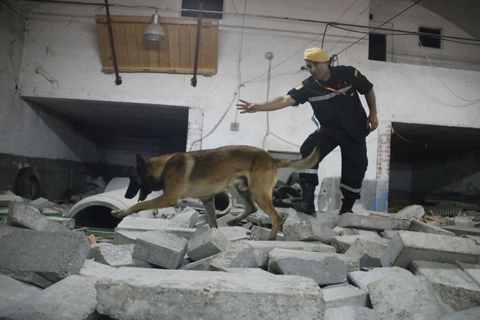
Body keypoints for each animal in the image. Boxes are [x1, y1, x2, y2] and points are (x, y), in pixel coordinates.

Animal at [110, 145, 316, 240]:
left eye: (132, 180)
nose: (126, 196)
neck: (165, 166)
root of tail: (271, 158)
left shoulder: (169, 198)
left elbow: (141, 204)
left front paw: (122, 211)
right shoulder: (208, 200)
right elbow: (212, 224)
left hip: (258, 192)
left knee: (276, 216)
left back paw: (271, 238)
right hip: (238, 189)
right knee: (252, 208)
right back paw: (233, 220)